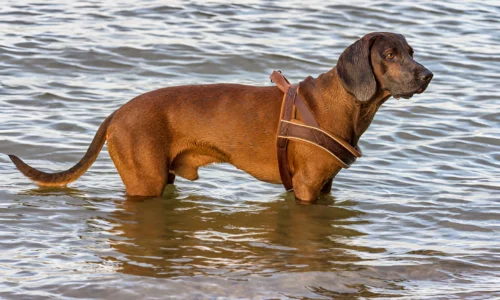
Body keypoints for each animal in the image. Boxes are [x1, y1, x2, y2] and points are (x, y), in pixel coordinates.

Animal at [10, 32, 434, 202]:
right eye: (390, 55)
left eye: (411, 51)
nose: (428, 75)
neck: (344, 102)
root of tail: (117, 112)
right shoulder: (307, 188)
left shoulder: (325, 187)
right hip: (145, 183)